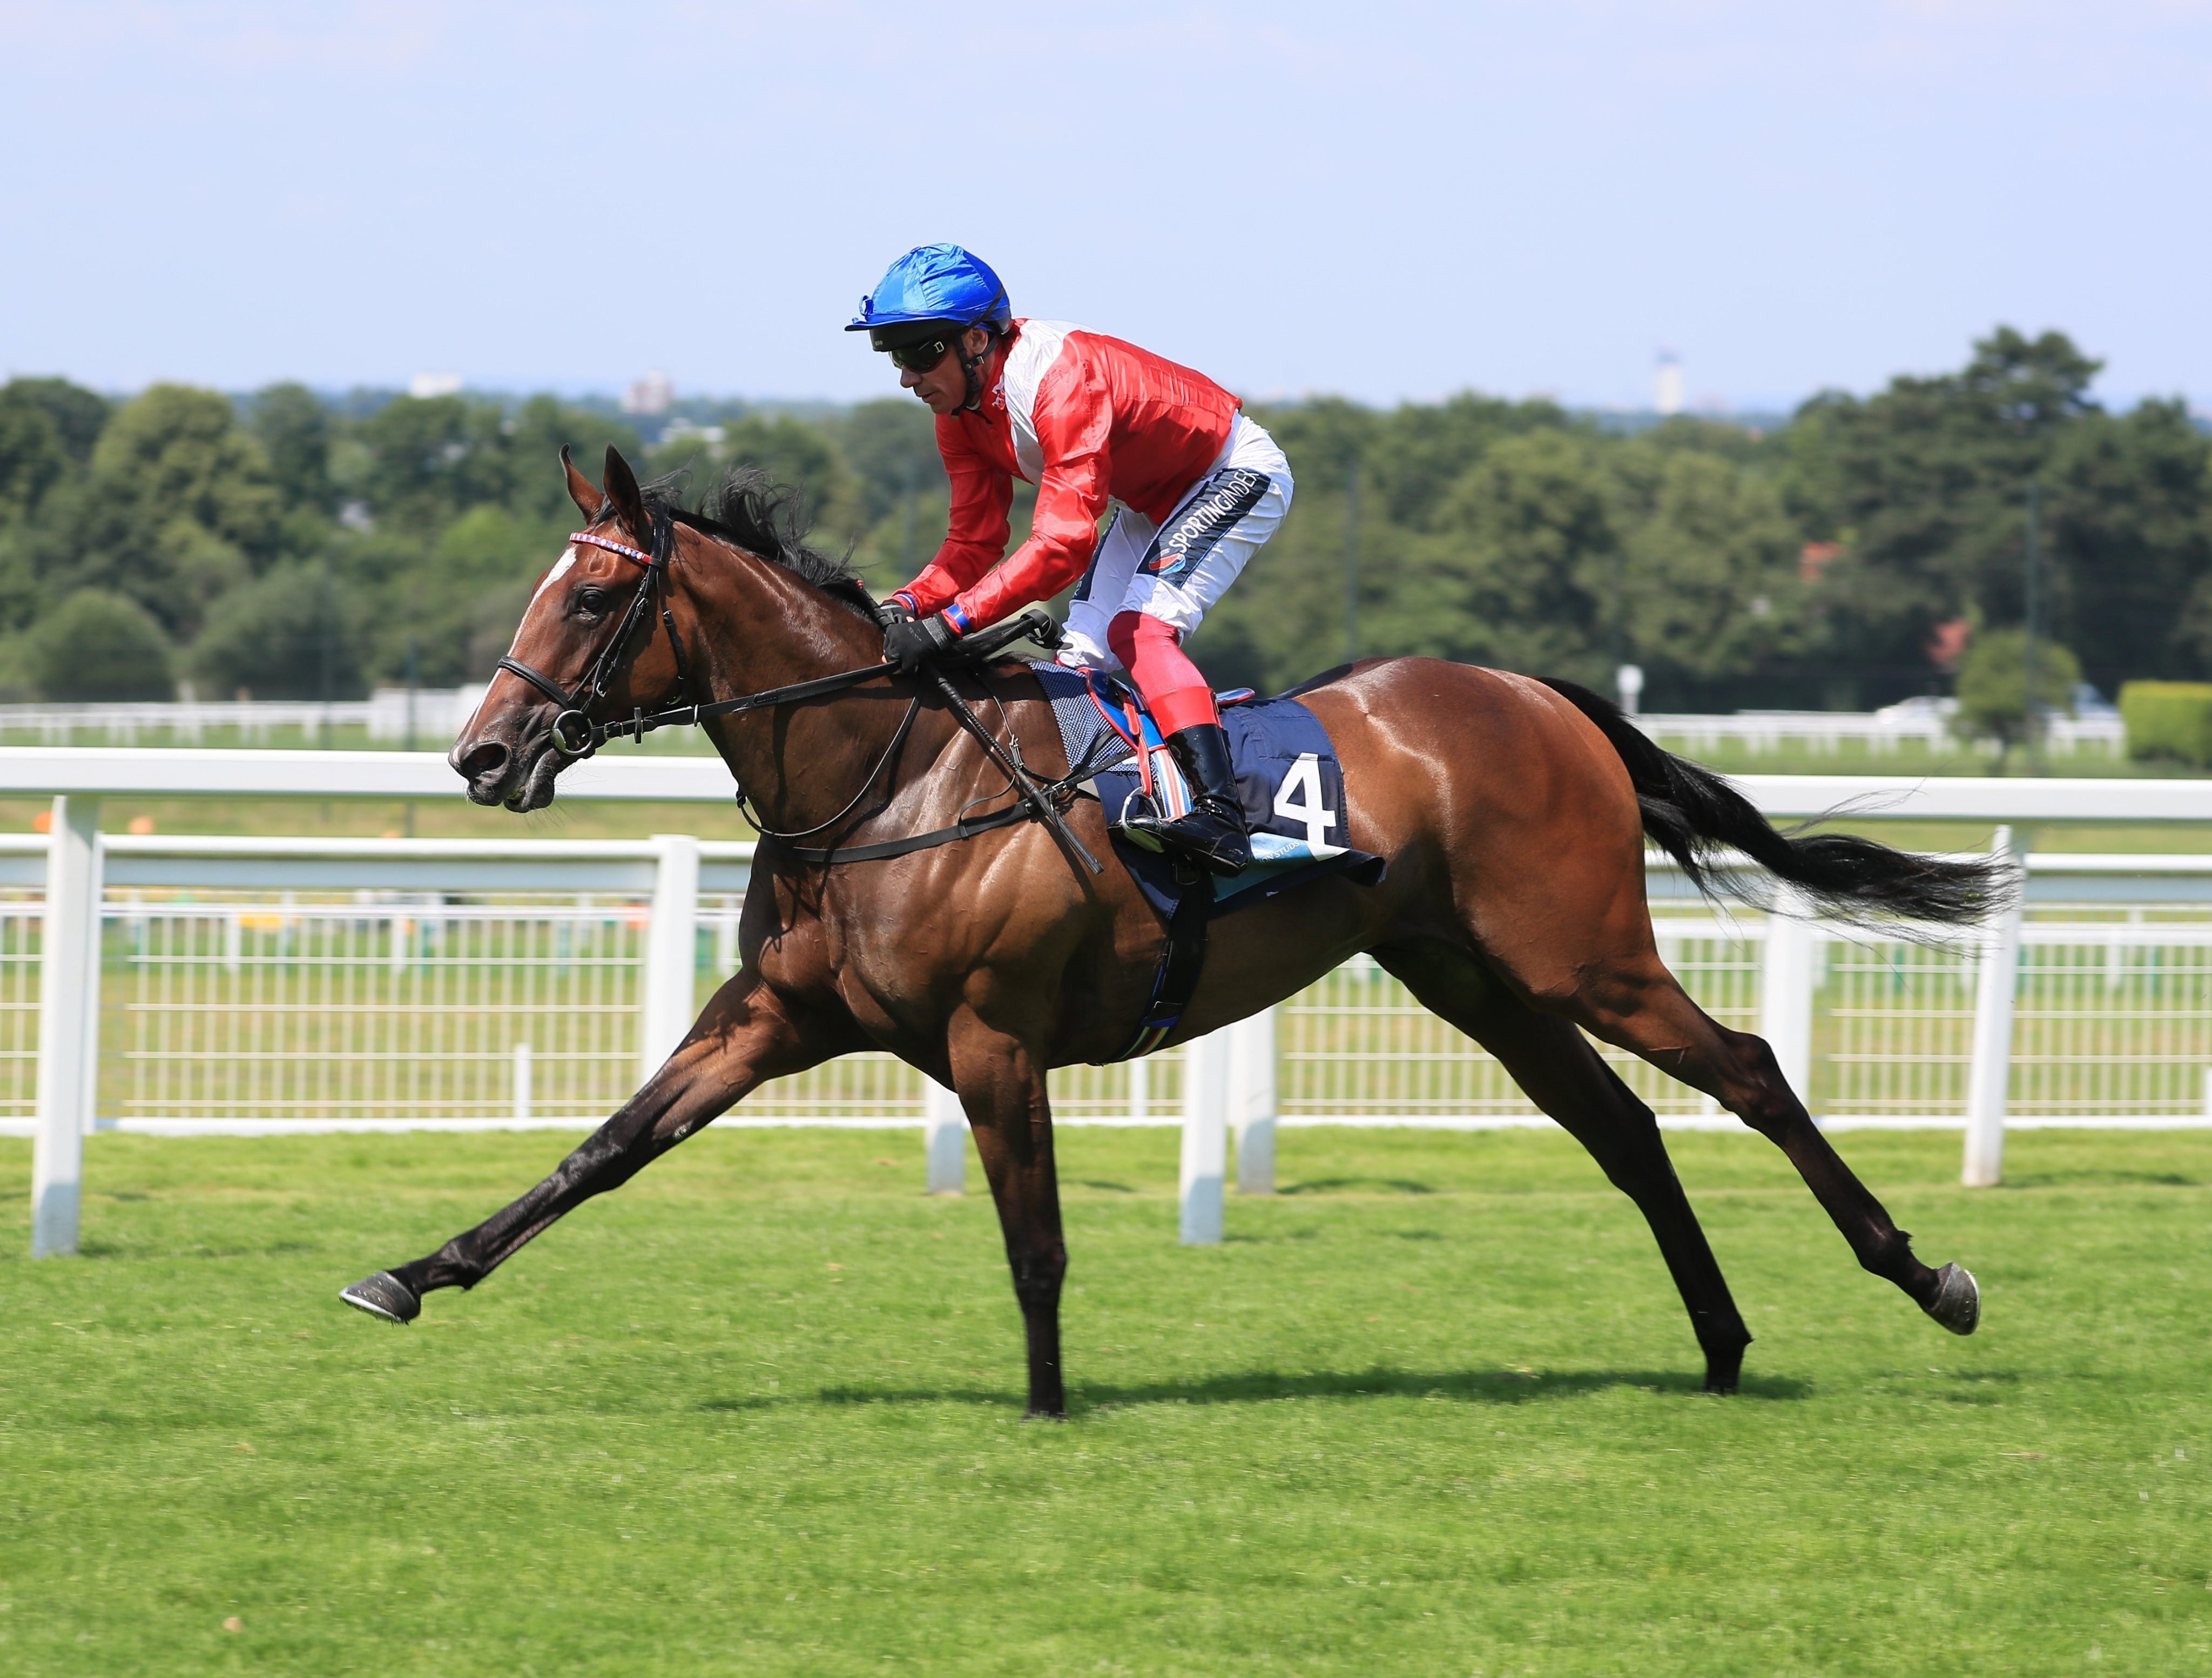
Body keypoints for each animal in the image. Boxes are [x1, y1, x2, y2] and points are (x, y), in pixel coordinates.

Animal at [341, 446, 2001, 1415]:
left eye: (593, 599)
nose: (481, 755)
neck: (885, 776)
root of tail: (1540, 694)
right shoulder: (773, 1016)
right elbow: (607, 1146)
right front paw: (413, 1272)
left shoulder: (992, 1035)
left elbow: (1036, 1237)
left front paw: (1045, 1402)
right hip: (1475, 977)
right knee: (1627, 1129)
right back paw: (1718, 1342)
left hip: (1579, 951)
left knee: (1748, 1069)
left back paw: (1926, 1276)